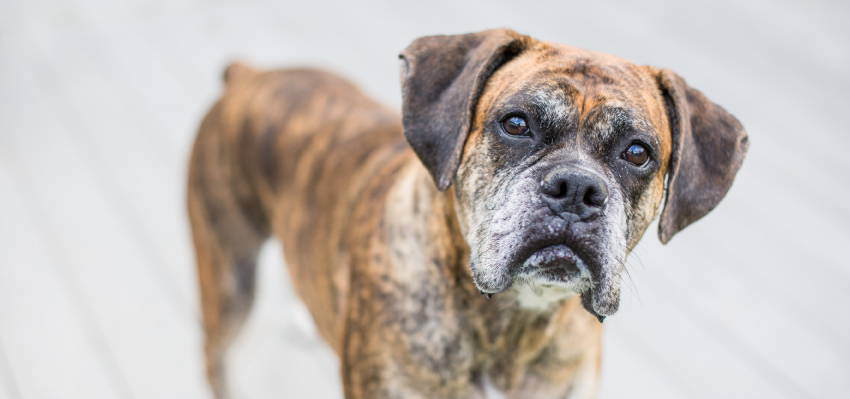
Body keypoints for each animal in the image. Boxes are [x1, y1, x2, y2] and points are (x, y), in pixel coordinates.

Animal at [189, 28, 744, 399]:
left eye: (637, 153)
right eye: (516, 123)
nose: (578, 188)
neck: (512, 323)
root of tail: (248, 78)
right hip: (229, 284)